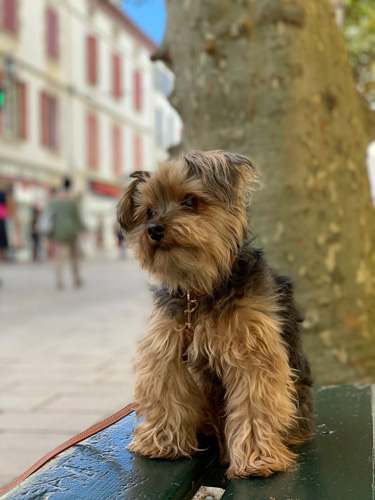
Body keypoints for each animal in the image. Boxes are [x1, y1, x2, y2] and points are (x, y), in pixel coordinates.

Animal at [117, 150, 314, 478]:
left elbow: (254, 403)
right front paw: (162, 442)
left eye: (190, 201)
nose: (154, 229)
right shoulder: (167, 346)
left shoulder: (251, 352)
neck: (199, 290)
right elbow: (166, 390)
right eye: (148, 212)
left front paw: (257, 457)